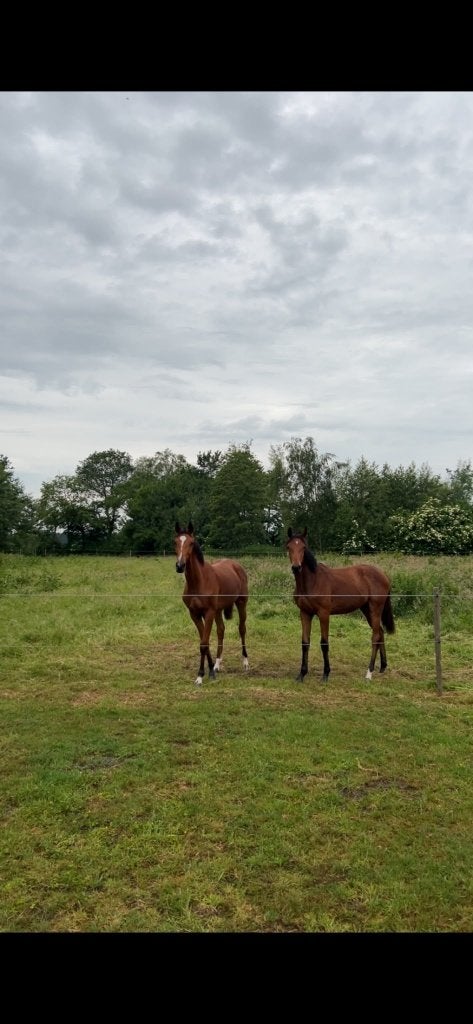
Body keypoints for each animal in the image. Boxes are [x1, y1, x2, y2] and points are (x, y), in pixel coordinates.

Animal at [174, 522, 249, 685]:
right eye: (175, 542)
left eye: (191, 543)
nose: (180, 566)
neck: (199, 582)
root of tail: (236, 565)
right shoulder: (195, 614)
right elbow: (205, 641)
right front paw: (210, 669)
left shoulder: (208, 612)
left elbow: (203, 643)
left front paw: (200, 676)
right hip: (218, 610)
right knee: (221, 630)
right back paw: (217, 664)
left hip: (241, 603)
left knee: (242, 629)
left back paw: (246, 662)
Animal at [286, 527, 395, 682]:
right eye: (289, 547)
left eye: (303, 547)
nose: (296, 567)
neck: (312, 581)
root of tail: (384, 575)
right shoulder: (305, 613)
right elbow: (305, 643)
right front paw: (301, 674)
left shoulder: (324, 614)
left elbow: (324, 643)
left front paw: (326, 674)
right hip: (366, 609)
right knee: (380, 632)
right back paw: (383, 666)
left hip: (375, 608)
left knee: (375, 637)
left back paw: (369, 673)